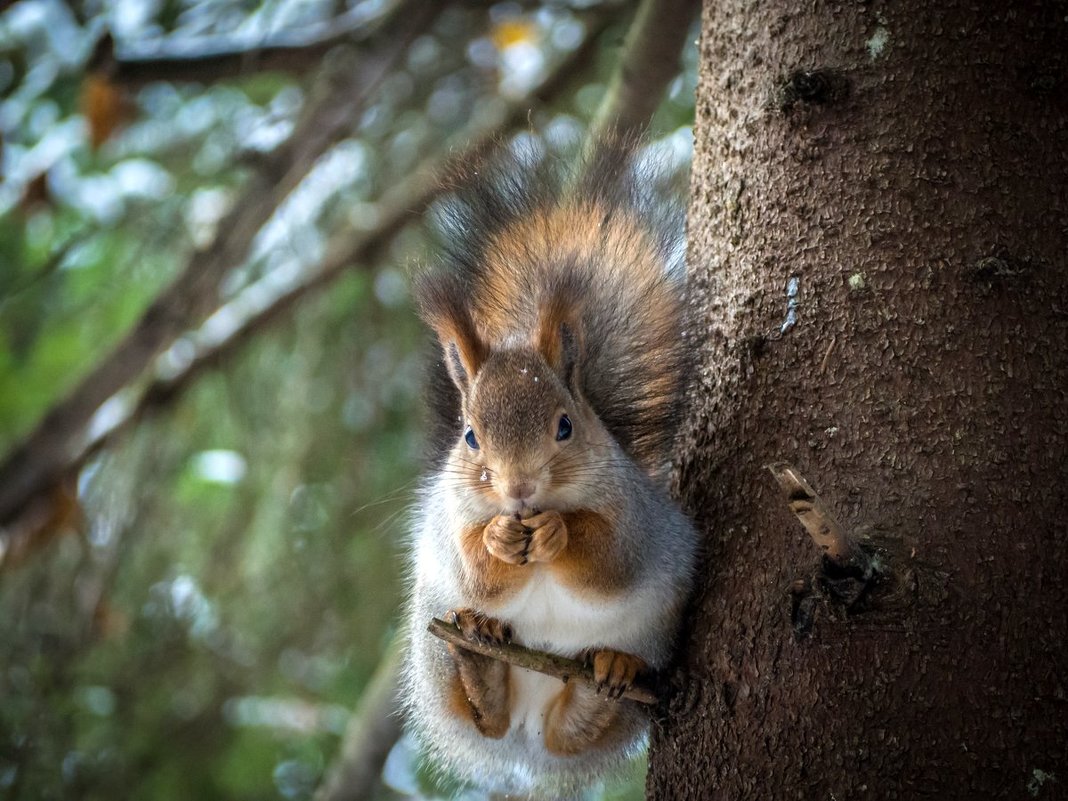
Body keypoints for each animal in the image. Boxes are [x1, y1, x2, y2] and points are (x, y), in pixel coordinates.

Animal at [401, 135, 700, 798]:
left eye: (566, 426)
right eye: (470, 436)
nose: (519, 489)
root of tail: (527, 736)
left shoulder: (637, 519)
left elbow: (609, 561)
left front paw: (557, 533)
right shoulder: (448, 517)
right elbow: (476, 568)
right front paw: (498, 538)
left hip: (648, 648)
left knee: (575, 732)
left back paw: (607, 678)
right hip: (433, 647)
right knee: (484, 716)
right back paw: (482, 660)